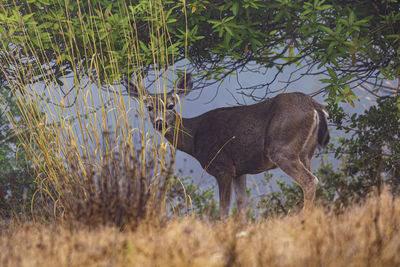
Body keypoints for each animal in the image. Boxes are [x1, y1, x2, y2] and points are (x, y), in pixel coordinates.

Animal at [124, 73, 328, 220]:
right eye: (149, 107)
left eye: (171, 106)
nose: (159, 123)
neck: (195, 139)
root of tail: (315, 105)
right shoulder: (240, 170)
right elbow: (242, 204)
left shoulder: (223, 167)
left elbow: (223, 210)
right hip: (306, 153)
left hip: (282, 148)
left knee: (310, 181)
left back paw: (303, 218)